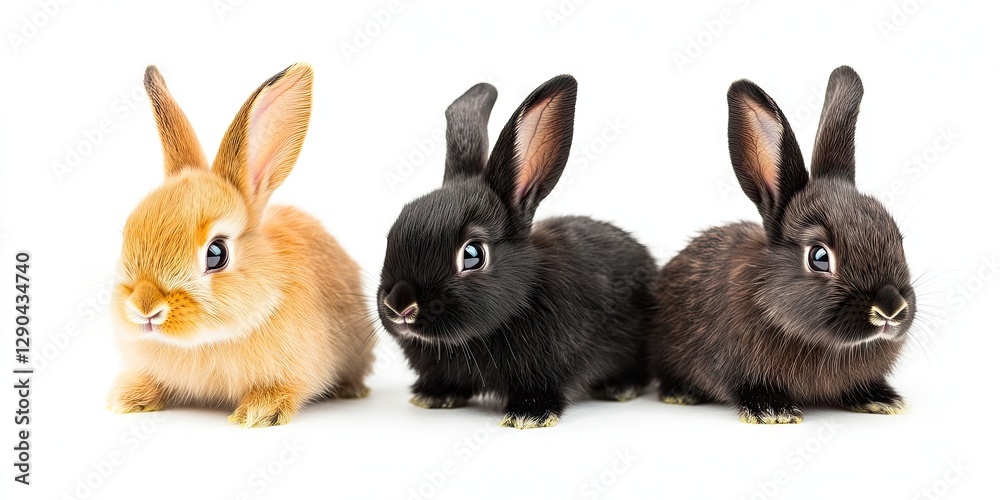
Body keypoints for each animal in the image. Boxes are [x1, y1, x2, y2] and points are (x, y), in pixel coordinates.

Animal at [376, 76, 657, 429]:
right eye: (391, 235)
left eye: (472, 255)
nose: (399, 306)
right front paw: (432, 397)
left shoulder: (546, 369)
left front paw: (528, 416)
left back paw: (621, 388)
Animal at [650, 66, 916, 424]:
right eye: (819, 257)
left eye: (897, 238)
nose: (890, 308)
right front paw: (774, 412)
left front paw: (883, 400)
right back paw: (681, 394)